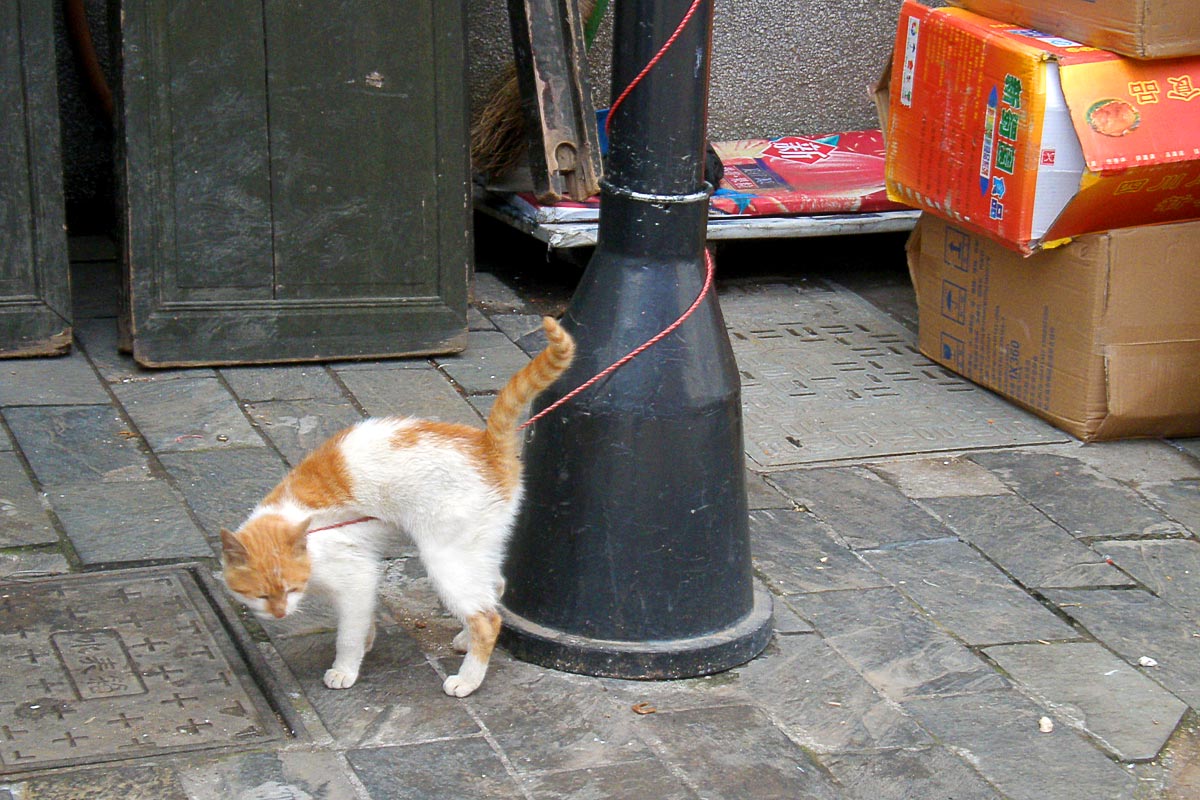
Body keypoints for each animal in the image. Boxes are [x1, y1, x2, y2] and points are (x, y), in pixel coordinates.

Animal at [222, 316, 576, 695]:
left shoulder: (356, 578)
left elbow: (348, 634)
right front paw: (367, 641)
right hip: (477, 550)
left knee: (488, 617)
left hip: (445, 557)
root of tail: (485, 445)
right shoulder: (361, 577)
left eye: (288, 589)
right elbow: (362, 622)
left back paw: (467, 678)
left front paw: (345, 668)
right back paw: (465, 639)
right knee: (493, 588)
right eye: (260, 595)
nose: (279, 615)